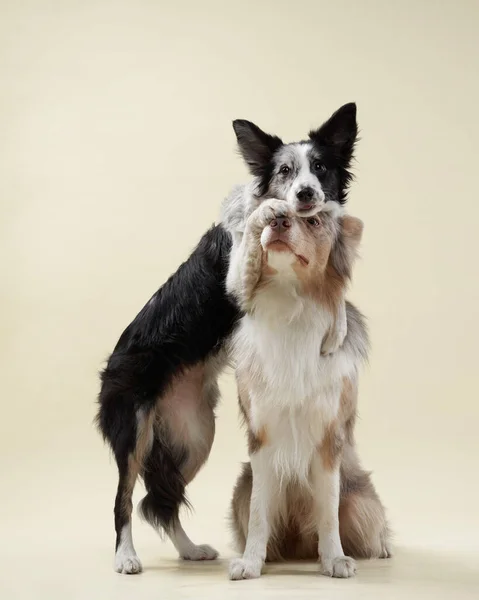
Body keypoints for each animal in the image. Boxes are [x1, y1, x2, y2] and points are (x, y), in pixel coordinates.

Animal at [228, 202, 390, 580]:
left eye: (313, 220)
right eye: (274, 210)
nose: (277, 221)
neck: (293, 301)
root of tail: (300, 545)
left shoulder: (329, 438)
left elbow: (328, 511)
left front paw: (334, 560)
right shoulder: (262, 437)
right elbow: (259, 512)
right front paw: (250, 562)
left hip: (361, 502)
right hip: (240, 489)